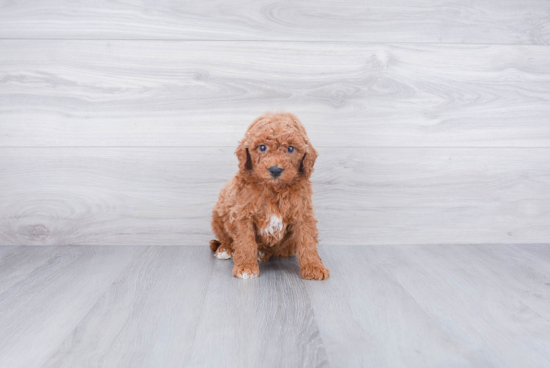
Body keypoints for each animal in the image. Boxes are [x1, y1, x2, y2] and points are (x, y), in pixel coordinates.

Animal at [211, 110, 332, 280]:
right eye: (262, 147)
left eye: (290, 149)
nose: (275, 170)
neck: (274, 189)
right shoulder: (242, 213)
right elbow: (245, 241)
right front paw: (246, 266)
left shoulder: (303, 212)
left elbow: (307, 239)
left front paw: (314, 266)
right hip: (218, 214)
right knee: (225, 238)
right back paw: (225, 249)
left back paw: (264, 252)